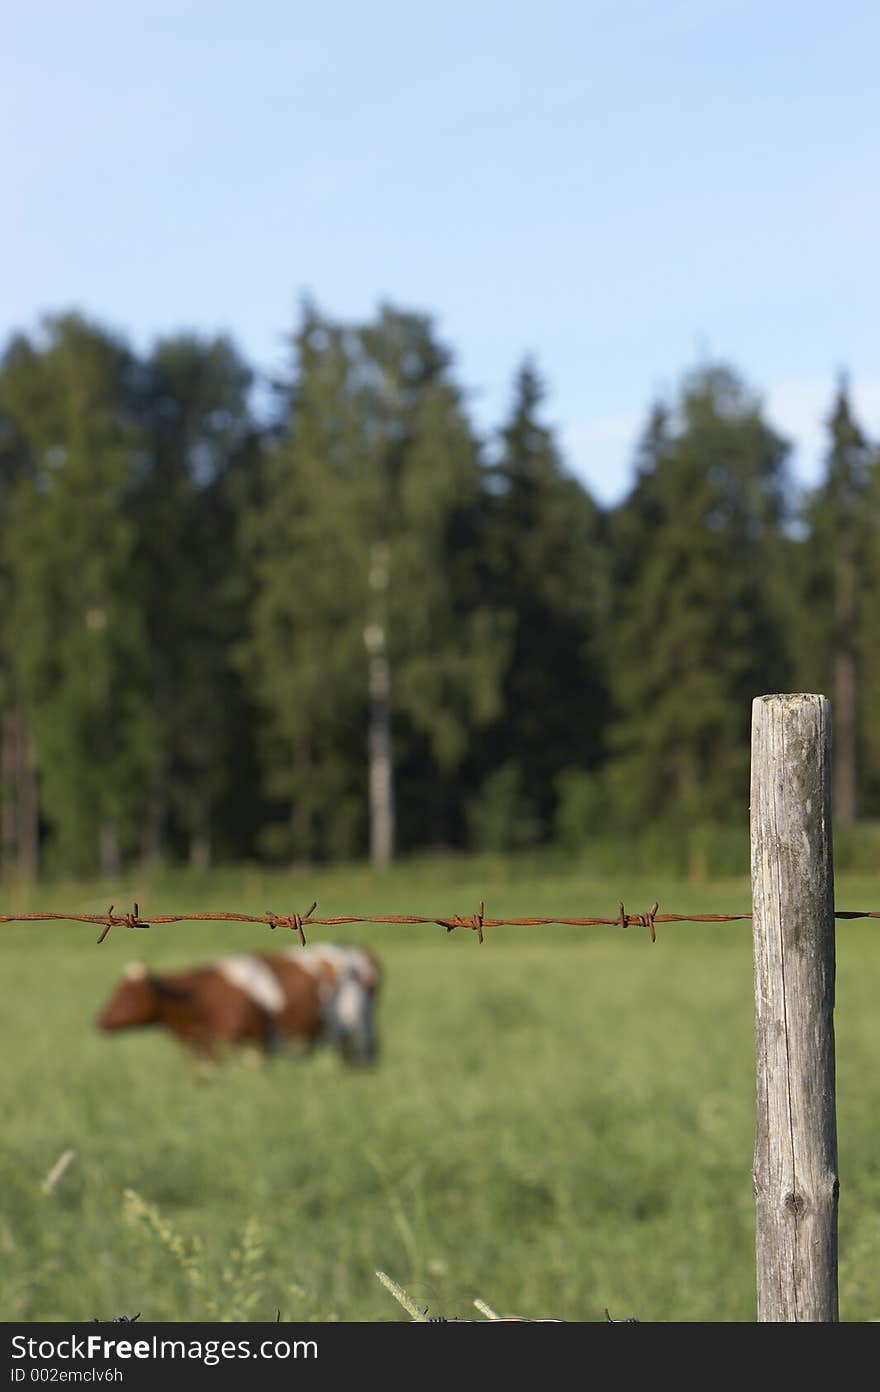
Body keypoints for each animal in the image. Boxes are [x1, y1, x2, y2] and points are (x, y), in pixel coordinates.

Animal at [96, 946, 381, 1063]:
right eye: (115, 990)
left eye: (129, 994)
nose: (98, 1022)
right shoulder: (204, 1054)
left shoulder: (255, 1045)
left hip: (359, 1034)